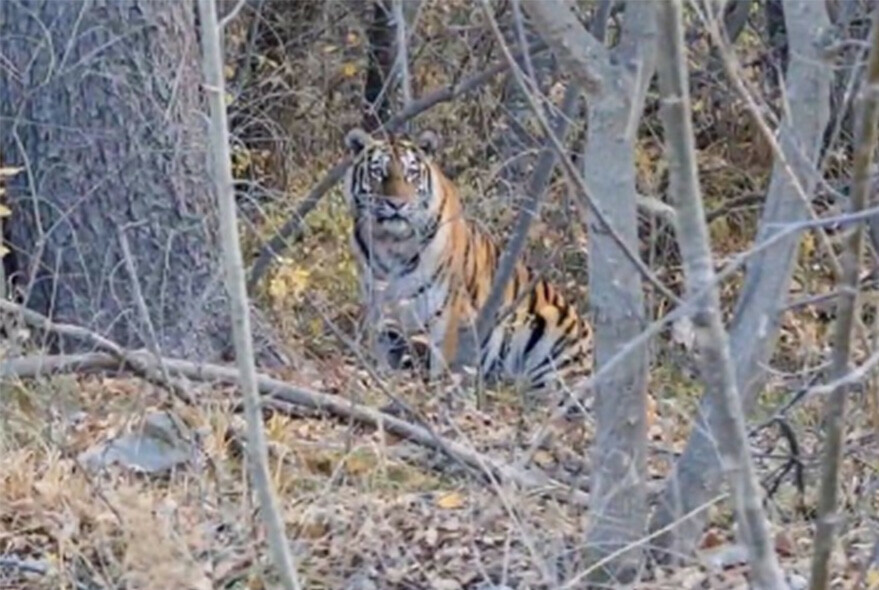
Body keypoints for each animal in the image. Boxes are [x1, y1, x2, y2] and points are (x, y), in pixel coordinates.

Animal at [344, 125, 592, 396]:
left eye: (411, 174)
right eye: (378, 172)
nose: (397, 204)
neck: (392, 244)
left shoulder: (446, 314)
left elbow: (441, 366)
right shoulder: (380, 311)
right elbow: (382, 357)